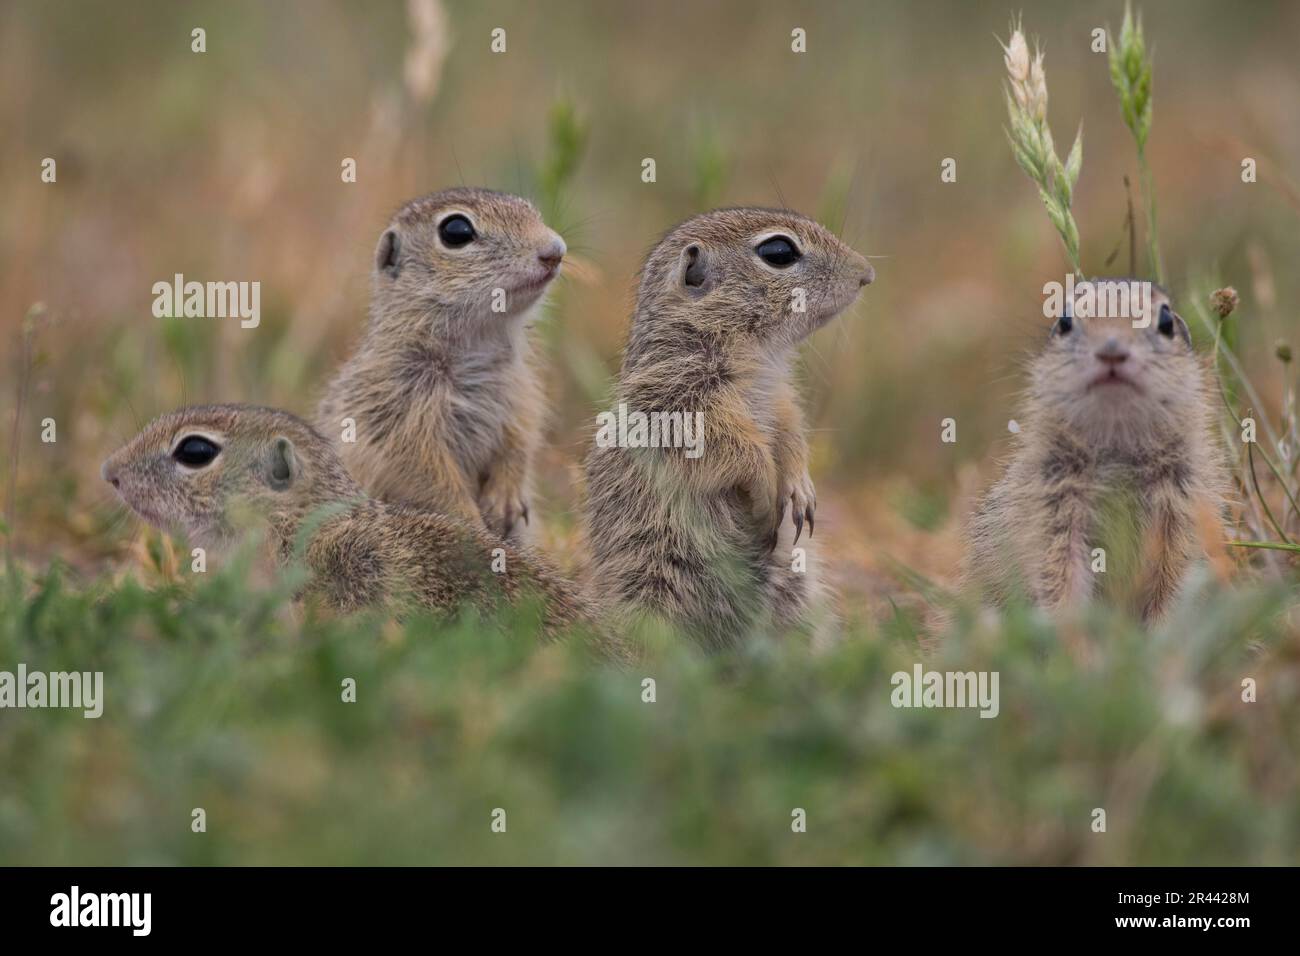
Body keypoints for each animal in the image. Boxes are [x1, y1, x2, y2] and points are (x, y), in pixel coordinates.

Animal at [315, 191, 564, 541]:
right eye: (456, 231)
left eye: (531, 210)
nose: (555, 251)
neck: (477, 342)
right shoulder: (397, 415)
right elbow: (431, 477)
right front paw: (473, 524)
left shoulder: (521, 392)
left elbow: (520, 440)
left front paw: (505, 499)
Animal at [587, 205, 873, 647]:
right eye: (779, 252)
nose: (866, 272)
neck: (757, 356)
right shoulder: (678, 402)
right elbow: (735, 449)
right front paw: (765, 489)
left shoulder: (781, 399)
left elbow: (791, 434)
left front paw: (800, 488)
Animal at [967, 280, 1227, 624]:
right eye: (1064, 321)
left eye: (1166, 322)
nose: (1111, 350)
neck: (1117, 444)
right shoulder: (1052, 510)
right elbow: (1060, 573)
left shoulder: (1183, 508)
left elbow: (1174, 577)